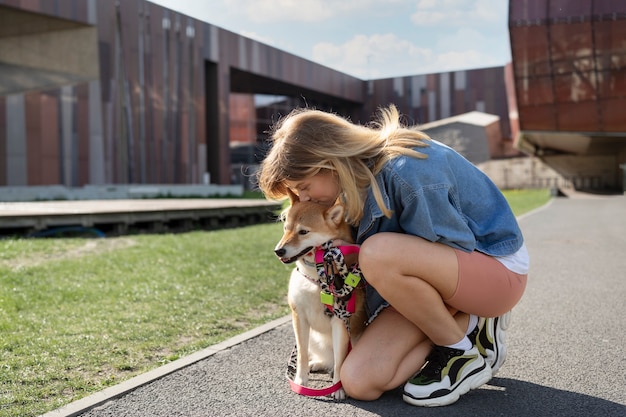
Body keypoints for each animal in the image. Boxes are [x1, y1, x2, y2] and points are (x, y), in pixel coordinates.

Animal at [272, 192, 366, 400]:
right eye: (286, 228)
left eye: (303, 232)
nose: (278, 250)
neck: (317, 279)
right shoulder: (299, 318)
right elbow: (301, 355)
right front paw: (300, 381)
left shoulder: (340, 322)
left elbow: (340, 361)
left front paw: (338, 388)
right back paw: (316, 364)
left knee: (335, 361)